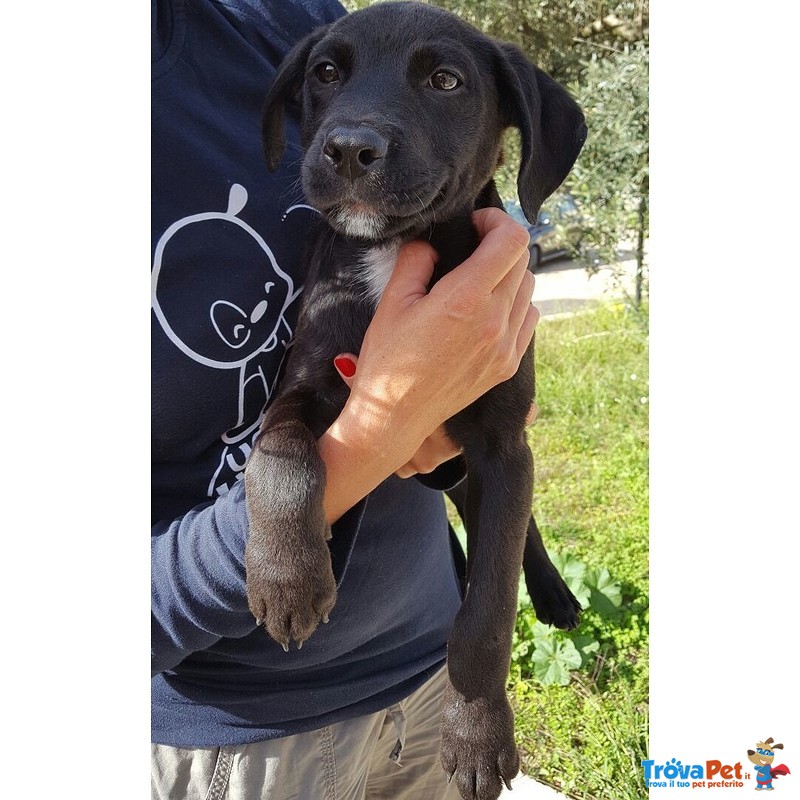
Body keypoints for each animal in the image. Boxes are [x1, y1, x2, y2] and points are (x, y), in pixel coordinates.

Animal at [247, 3, 584, 796]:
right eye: (325, 72)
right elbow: (281, 458)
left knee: (519, 535)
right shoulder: (304, 387)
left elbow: (487, 613)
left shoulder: (502, 447)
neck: (394, 251)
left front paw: (477, 733)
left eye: (445, 81)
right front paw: (286, 578)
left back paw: (553, 595)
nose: (348, 148)